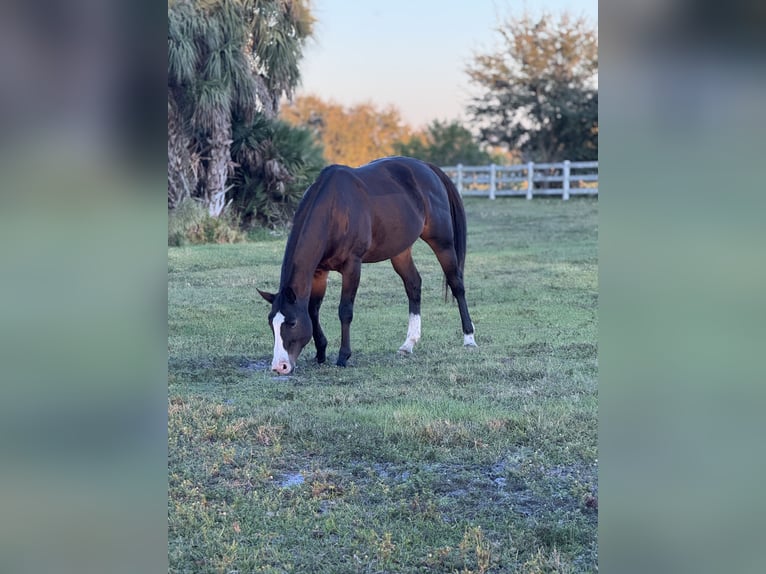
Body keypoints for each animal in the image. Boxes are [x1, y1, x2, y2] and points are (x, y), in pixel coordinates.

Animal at [258, 156, 476, 375]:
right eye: (271, 323)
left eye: (292, 323)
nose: (279, 366)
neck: (334, 209)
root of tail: (426, 167)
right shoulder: (319, 271)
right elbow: (313, 310)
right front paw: (321, 353)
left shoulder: (352, 266)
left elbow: (345, 311)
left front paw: (343, 356)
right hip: (400, 251)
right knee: (413, 285)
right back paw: (408, 344)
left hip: (442, 243)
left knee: (457, 285)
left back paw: (469, 339)